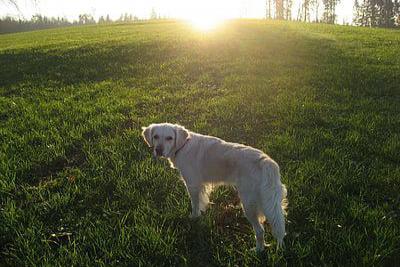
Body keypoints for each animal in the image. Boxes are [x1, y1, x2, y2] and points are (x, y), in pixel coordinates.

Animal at [141, 122, 288, 252]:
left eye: (169, 138)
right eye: (156, 136)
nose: (158, 150)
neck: (183, 145)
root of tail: (266, 161)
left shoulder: (192, 184)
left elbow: (195, 204)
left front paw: (194, 218)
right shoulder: (202, 185)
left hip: (249, 204)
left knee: (260, 230)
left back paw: (257, 250)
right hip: (268, 202)